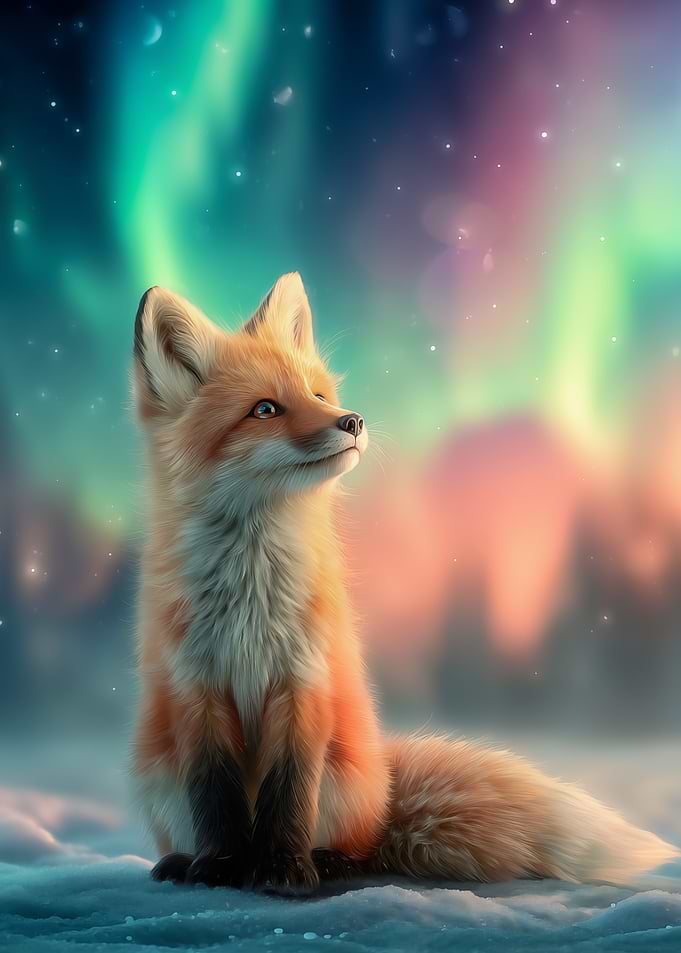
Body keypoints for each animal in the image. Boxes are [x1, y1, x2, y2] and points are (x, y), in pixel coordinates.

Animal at [131, 272, 678, 896]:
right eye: (264, 409)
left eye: (320, 397)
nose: (352, 421)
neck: (251, 594)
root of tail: (384, 786)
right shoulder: (196, 689)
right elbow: (214, 799)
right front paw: (220, 868)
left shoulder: (305, 683)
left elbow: (289, 797)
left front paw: (285, 870)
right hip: (158, 775)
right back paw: (182, 861)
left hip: (345, 776)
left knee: (359, 843)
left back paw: (328, 860)